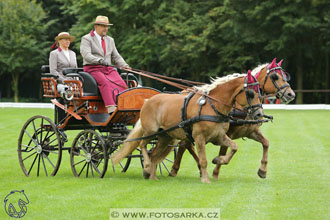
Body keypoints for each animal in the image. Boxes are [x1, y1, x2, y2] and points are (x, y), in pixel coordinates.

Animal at [112, 72, 264, 182]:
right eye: (251, 93)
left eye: (260, 92)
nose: (259, 114)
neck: (213, 106)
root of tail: (148, 100)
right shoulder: (199, 137)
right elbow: (203, 160)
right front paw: (205, 179)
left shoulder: (219, 136)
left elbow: (234, 147)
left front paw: (218, 160)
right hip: (151, 131)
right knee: (143, 145)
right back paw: (148, 166)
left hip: (165, 137)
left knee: (154, 155)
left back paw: (153, 176)